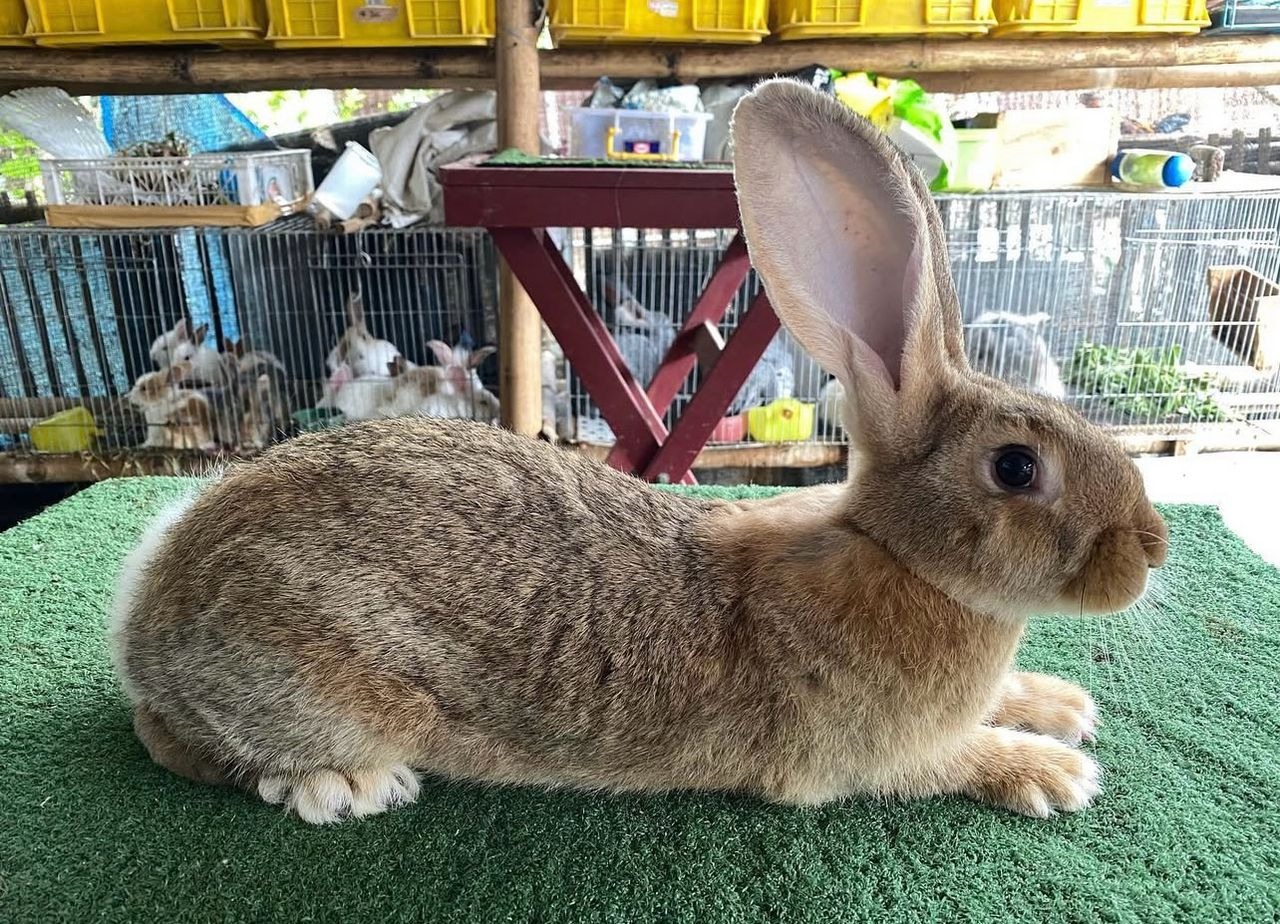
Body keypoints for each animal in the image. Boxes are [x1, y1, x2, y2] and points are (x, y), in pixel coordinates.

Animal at [110, 80, 1168, 826]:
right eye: (1017, 467)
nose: (1151, 551)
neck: (898, 555)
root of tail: (146, 617)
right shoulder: (868, 757)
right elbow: (953, 759)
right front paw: (1056, 769)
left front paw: (1059, 703)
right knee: (199, 749)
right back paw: (348, 785)